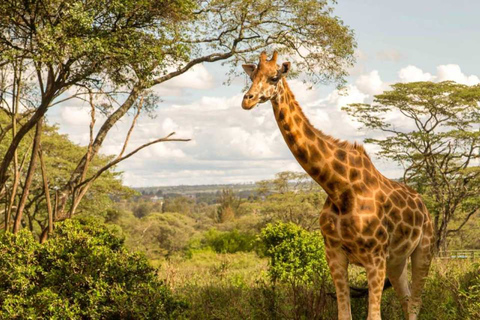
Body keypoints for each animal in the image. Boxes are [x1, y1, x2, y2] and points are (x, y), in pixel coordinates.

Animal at [240, 50, 436, 320]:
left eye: (274, 77)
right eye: (252, 76)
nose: (247, 100)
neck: (338, 187)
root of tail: (423, 205)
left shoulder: (375, 257)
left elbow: (373, 316)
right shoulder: (334, 254)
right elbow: (344, 314)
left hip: (423, 249)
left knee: (416, 301)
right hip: (397, 261)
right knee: (407, 300)